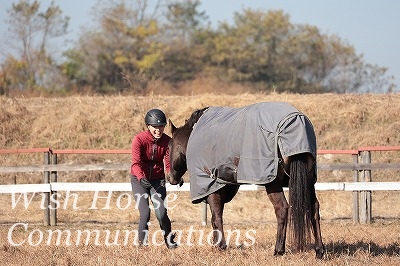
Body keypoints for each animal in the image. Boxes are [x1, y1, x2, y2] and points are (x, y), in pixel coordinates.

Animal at [166, 102, 324, 258]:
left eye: (168, 148)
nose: (169, 177)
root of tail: (296, 123)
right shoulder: (221, 186)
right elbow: (215, 217)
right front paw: (216, 244)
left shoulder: (211, 186)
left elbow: (216, 216)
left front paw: (220, 246)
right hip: (308, 182)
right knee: (314, 207)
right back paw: (319, 250)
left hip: (273, 183)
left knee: (282, 208)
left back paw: (278, 250)